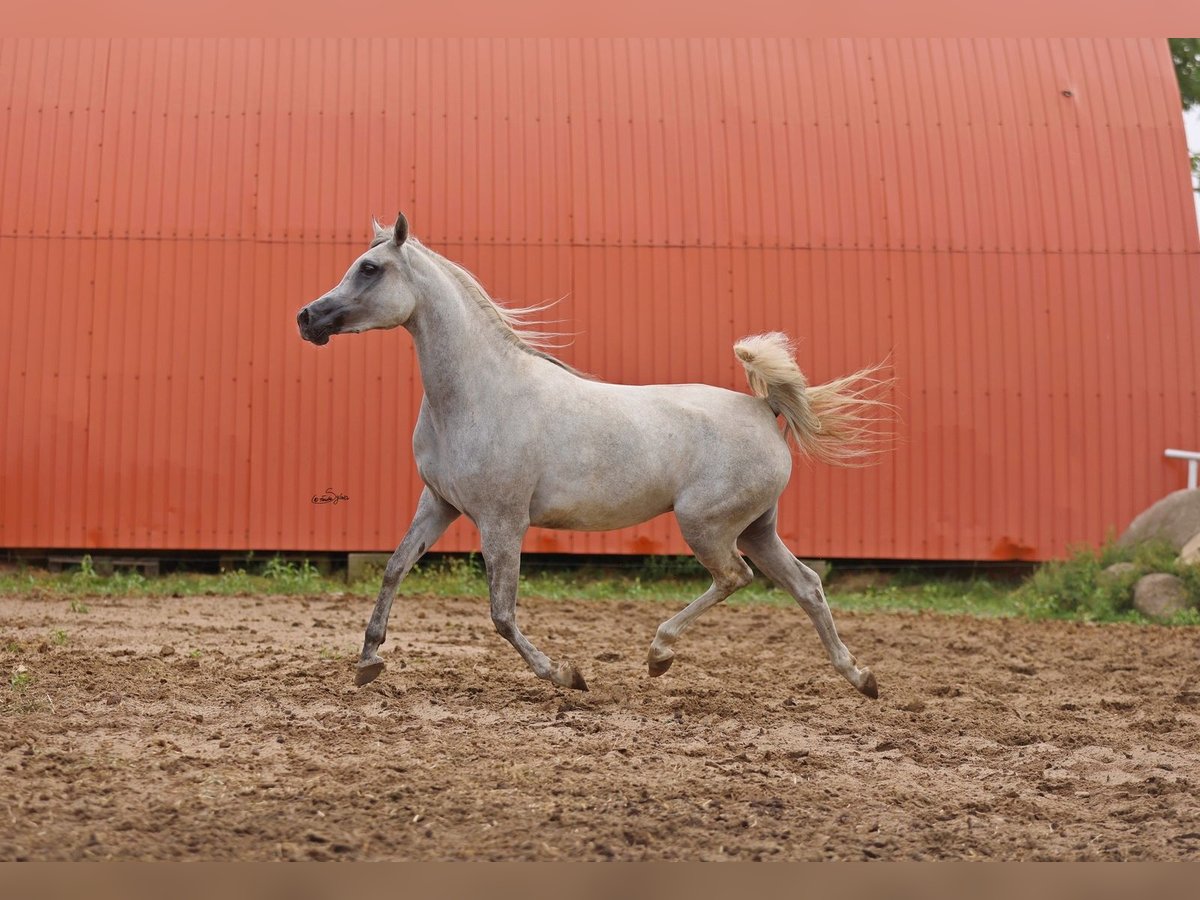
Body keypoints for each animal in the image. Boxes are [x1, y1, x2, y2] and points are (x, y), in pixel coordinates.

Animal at [292, 214, 892, 700]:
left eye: (370, 269)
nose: (307, 318)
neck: (480, 393)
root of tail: (763, 408)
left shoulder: (502, 520)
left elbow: (501, 613)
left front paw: (566, 675)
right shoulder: (439, 502)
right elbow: (395, 567)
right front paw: (368, 661)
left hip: (708, 525)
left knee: (734, 578)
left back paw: (658, 654)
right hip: (756, 528)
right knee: (806, 584)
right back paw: (861, 678)